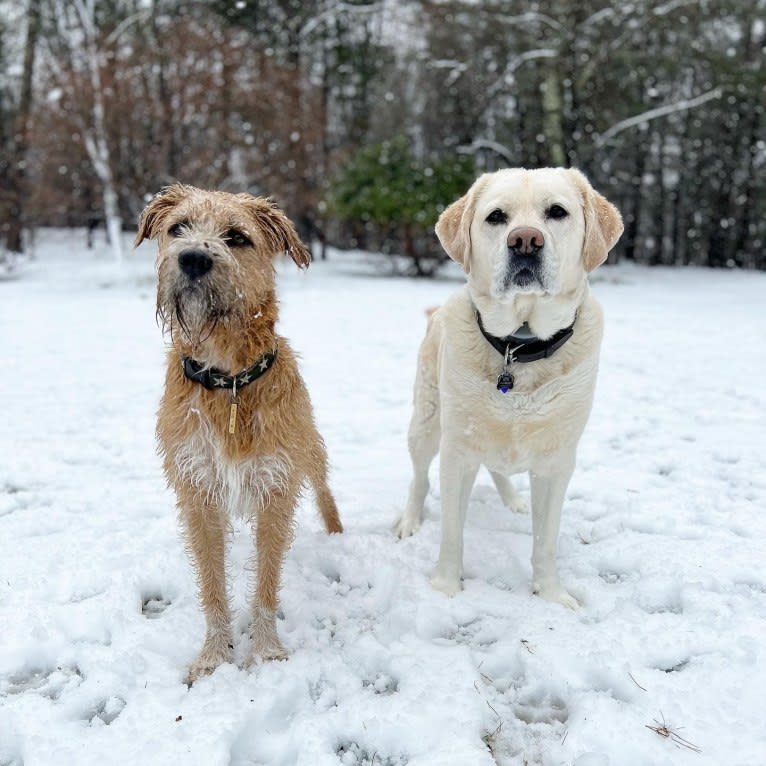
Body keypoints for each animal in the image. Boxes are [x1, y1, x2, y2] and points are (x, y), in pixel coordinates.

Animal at [136, 184, 344, 684]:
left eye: (237, 237)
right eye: (178, 228)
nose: (193, 258)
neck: (227, 380)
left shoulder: (275, 487)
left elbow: (266, 583)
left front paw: (266, 652)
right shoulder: (198, 493)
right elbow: (212, 585)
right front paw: (214, 656)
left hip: (310, 451)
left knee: (324, 491)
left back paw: (337, 536)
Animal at [396, 170, 624, 612]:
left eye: (557, 212)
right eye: (496, 217)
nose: (525, 241)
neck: (518, 348)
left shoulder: (557, 461)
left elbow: (545, 541)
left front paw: (551, 593)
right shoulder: (458, 450)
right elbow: (452, 532)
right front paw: (445, 588)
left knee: (497, 468)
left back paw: (514, 500)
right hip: (427, 422)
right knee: (419, 479)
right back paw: (409, 521)